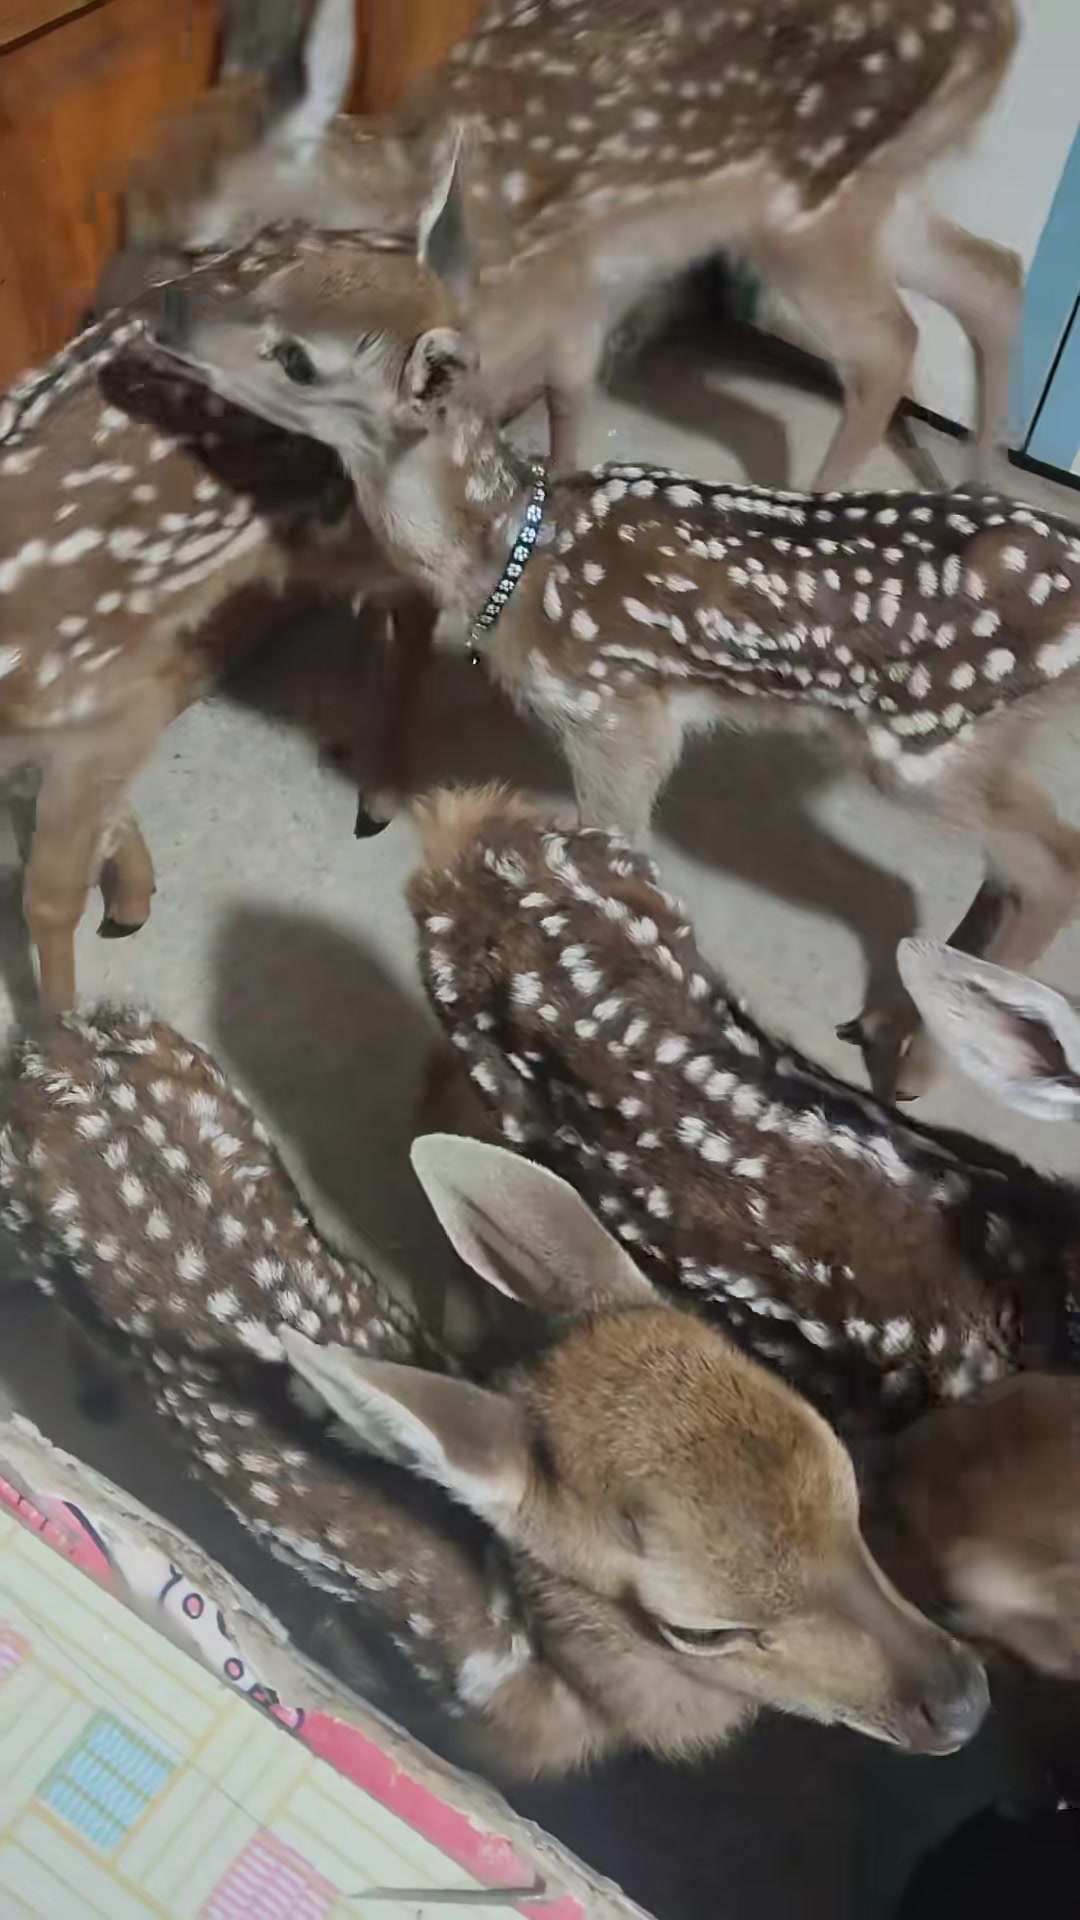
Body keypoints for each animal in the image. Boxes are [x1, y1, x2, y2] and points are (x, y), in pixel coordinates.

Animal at [110, 0, 1023, 488]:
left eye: (201, 244)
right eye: (121, 203)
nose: (116, 314)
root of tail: (1000, 31)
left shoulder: (562, 272)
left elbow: (556, 389)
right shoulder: (591, 279)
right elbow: (573, 393)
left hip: (807, 212)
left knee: (889, 344)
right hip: (879, 189)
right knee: (994, 275)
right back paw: (981, 486)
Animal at [146, 190, 1080, 1102]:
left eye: (298, 359)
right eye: (285, 272)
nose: (165, 310)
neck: (511, 561)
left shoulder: (617, 720)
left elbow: (611, 844)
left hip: (927, 745)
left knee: (1049, 866)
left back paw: (924, 1066)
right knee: (1011, 869)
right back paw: (900, 1020)